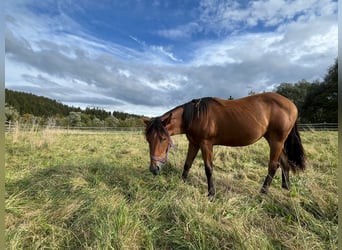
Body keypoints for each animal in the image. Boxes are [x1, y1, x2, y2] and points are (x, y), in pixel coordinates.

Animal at [143, 92, 306, 197]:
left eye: (163, 138)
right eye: (148, 139)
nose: (154, 169)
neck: (195, 116)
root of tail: (292, 105)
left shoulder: (206, 144)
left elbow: (208, 169)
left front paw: (211, 193)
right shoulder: (194, 143)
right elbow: (187, 164)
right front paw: (182, 182)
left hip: (276, 141)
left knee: (273, 165)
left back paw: (263, 192)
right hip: (275, 140)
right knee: (284, 162)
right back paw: (286, 187)